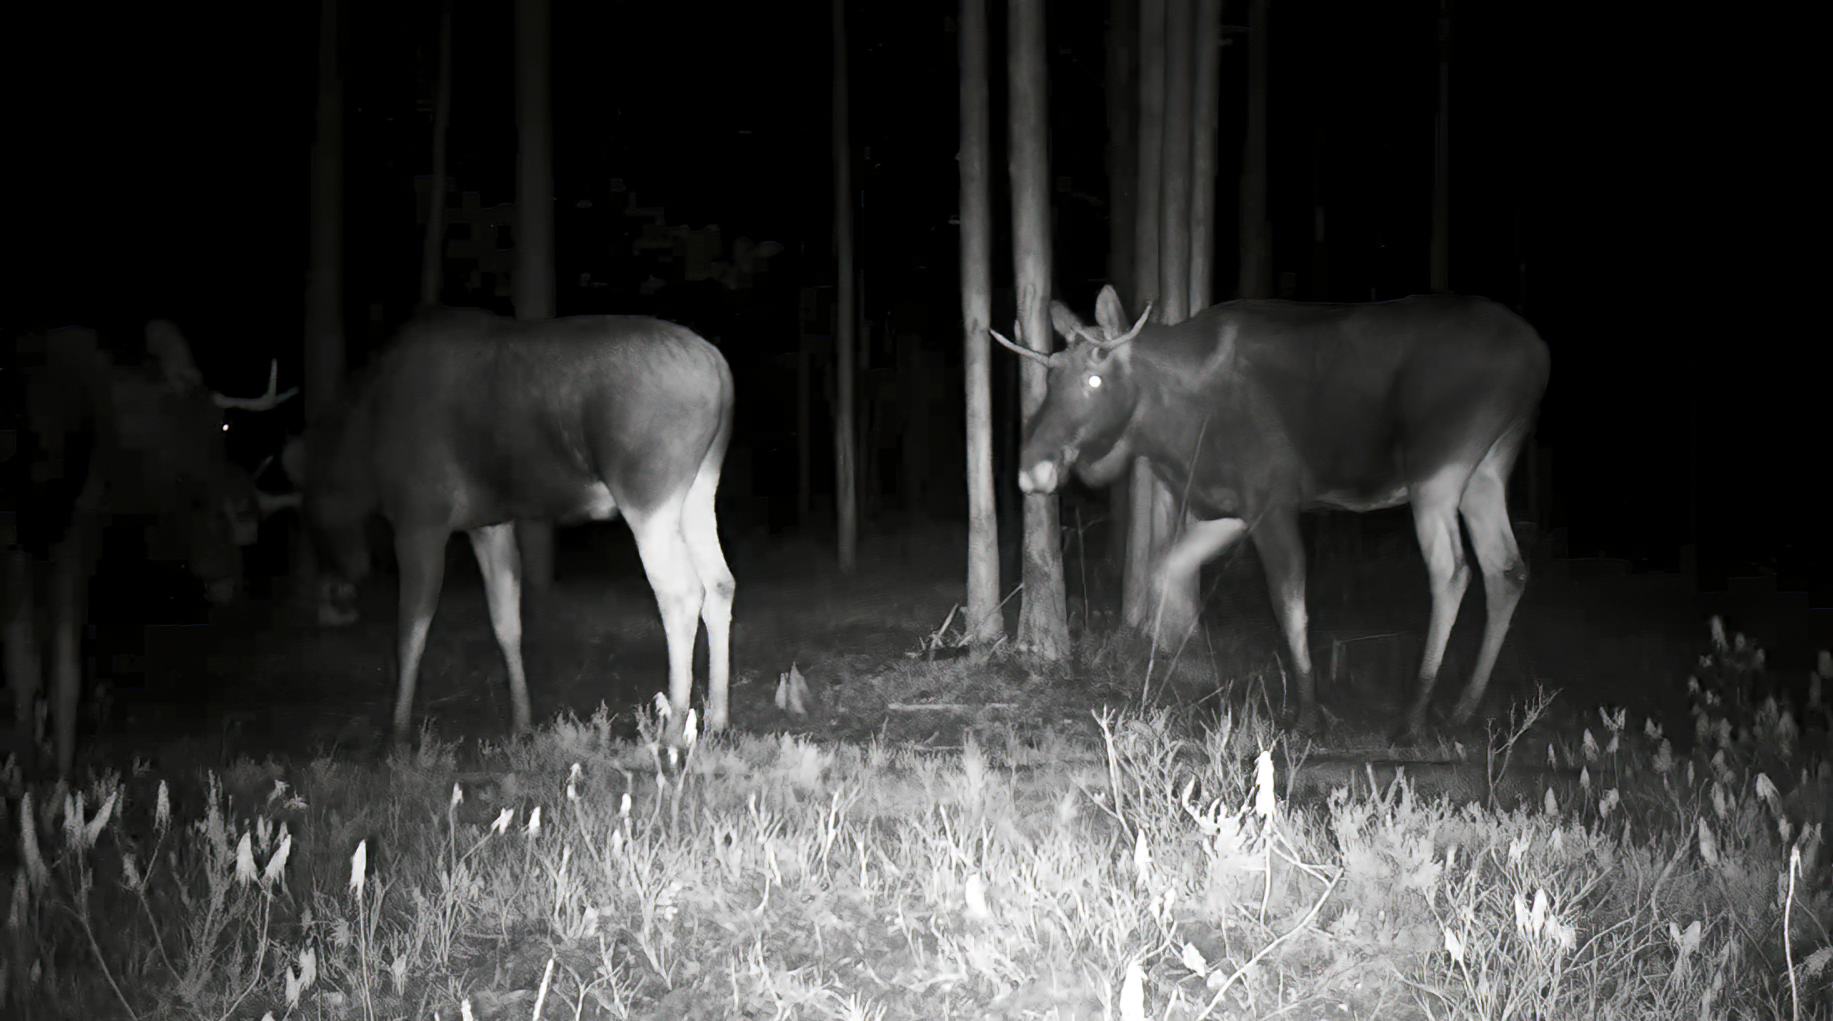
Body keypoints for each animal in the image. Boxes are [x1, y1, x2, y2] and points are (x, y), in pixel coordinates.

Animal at [282, 306, 733, 744]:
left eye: (309, 517)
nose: (332, 601)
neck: (361, 456)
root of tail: (720, 369)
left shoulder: (419, 518)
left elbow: (410, 631)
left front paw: (397, 729)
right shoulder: (489, 523)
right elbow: (506, 622)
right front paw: (521, 721)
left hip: (646, 490)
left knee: (681, 592)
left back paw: (675, 728)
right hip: (698, 487)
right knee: (720, 582)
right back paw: (718, 717)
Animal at [1004, 282, 1547, 736]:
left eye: (1095, 379)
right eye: (1050, 378)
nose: (1031, 469)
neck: (1169, 427)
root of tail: (1539, 355)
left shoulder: (1272, 502)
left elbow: (1289, 604)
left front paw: (1309, 714)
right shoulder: (1228, 509)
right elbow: (1166, 573)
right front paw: (1169, 681)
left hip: (1436, 470)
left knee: (1452, 570)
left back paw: (1415, 716)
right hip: (1487, 471)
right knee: (1506, 569)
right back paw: (1462, 709)